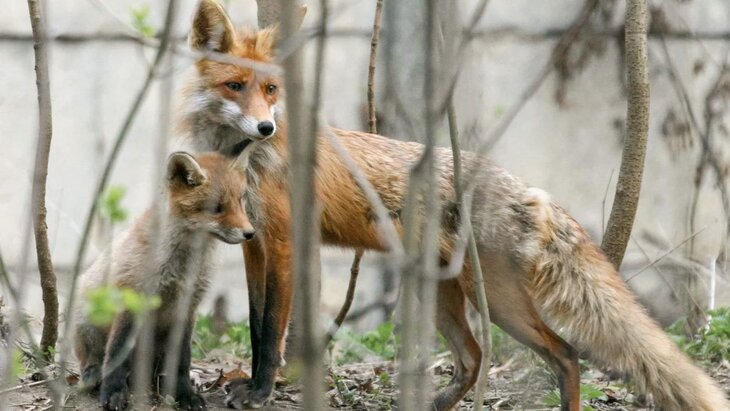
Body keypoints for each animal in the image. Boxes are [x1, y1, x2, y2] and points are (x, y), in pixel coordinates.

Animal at [74, 149, 256, 411]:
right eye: (216, 208)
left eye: (241, 202)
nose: (250, 233)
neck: (182, 268)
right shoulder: (132, 298)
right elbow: (117, 352)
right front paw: (114, 393)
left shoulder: (188, 306)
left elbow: (182, 360)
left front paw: (184, 394)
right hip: (87, 319)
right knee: (94, 359)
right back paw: (94, 375)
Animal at [179, 1, 728, 410]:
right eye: (235, 86)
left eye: (271, 89)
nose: (265, 127)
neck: (246, 162)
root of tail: (531, 190)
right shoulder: (254, 246)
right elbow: (255, 324)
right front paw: (249, 385)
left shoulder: (285, 243)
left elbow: (271, 331)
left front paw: (260, 391)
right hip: (447, 299)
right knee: (474, 358)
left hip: (501, 302)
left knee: (566, 355)